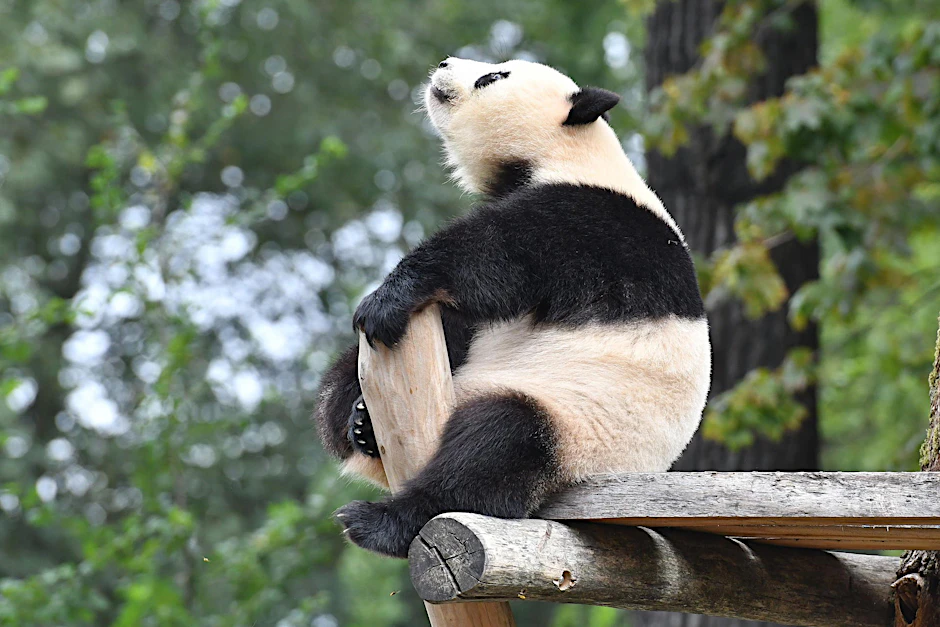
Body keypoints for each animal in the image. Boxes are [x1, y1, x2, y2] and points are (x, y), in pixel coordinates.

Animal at [314, 57, 711, 558]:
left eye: (493, 77)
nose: (444, 64)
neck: (568, 152)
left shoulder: (591, 222)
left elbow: (496, 256)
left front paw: (386, 301)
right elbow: (463, 314)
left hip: (576, 427)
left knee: (498, 445)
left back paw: (378, 521)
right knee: (343, 384)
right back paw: (360, 423)